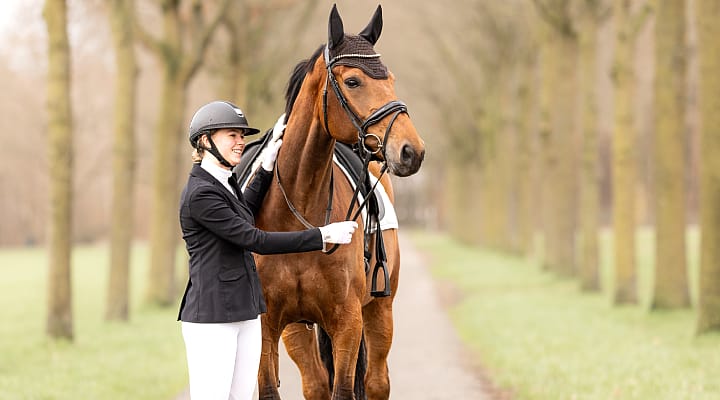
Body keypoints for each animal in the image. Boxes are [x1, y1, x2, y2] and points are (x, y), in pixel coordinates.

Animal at [250, 5, 425, 399]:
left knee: (376, 382)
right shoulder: (266, 324)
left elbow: (344, 389)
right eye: (353, 82)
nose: (412, 151)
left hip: (379, 312)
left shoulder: (347, 320)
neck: (298, 218)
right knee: (315, 383)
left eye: (391, 78)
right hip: (296, 329)